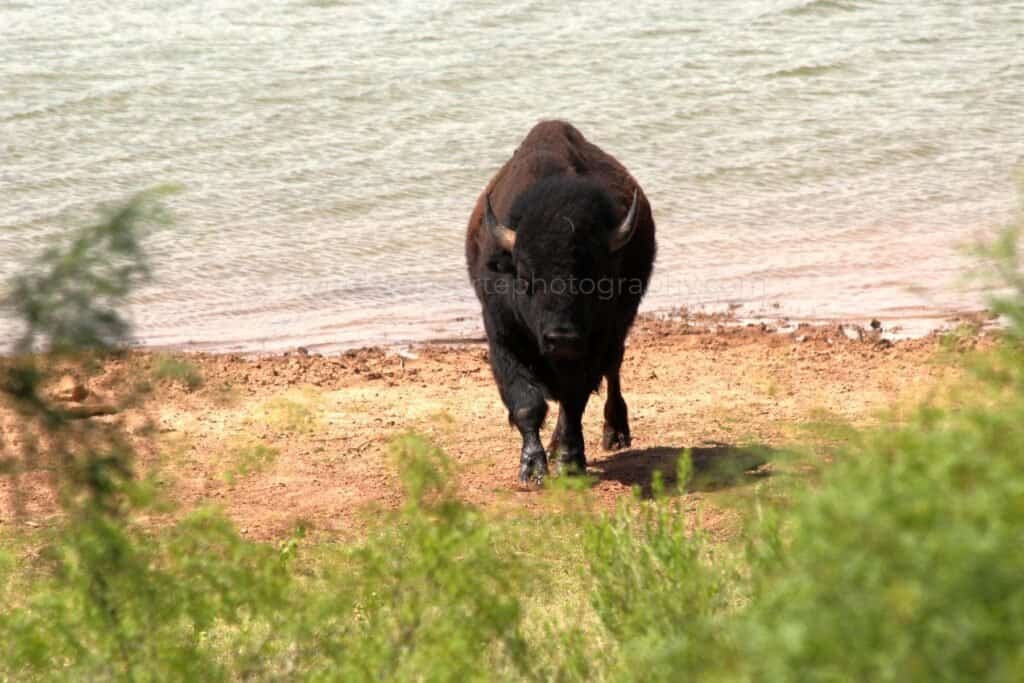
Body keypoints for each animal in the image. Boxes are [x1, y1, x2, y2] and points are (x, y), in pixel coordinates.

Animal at [466, 121, 657, 484]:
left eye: (595, 277)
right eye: (526, 276)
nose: (562, 338)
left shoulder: (593, 345)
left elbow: (573, 401)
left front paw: (568, 462)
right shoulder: (503, 339)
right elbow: (528, 404)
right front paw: (532, 469)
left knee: (613, 372)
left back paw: (615, 433)